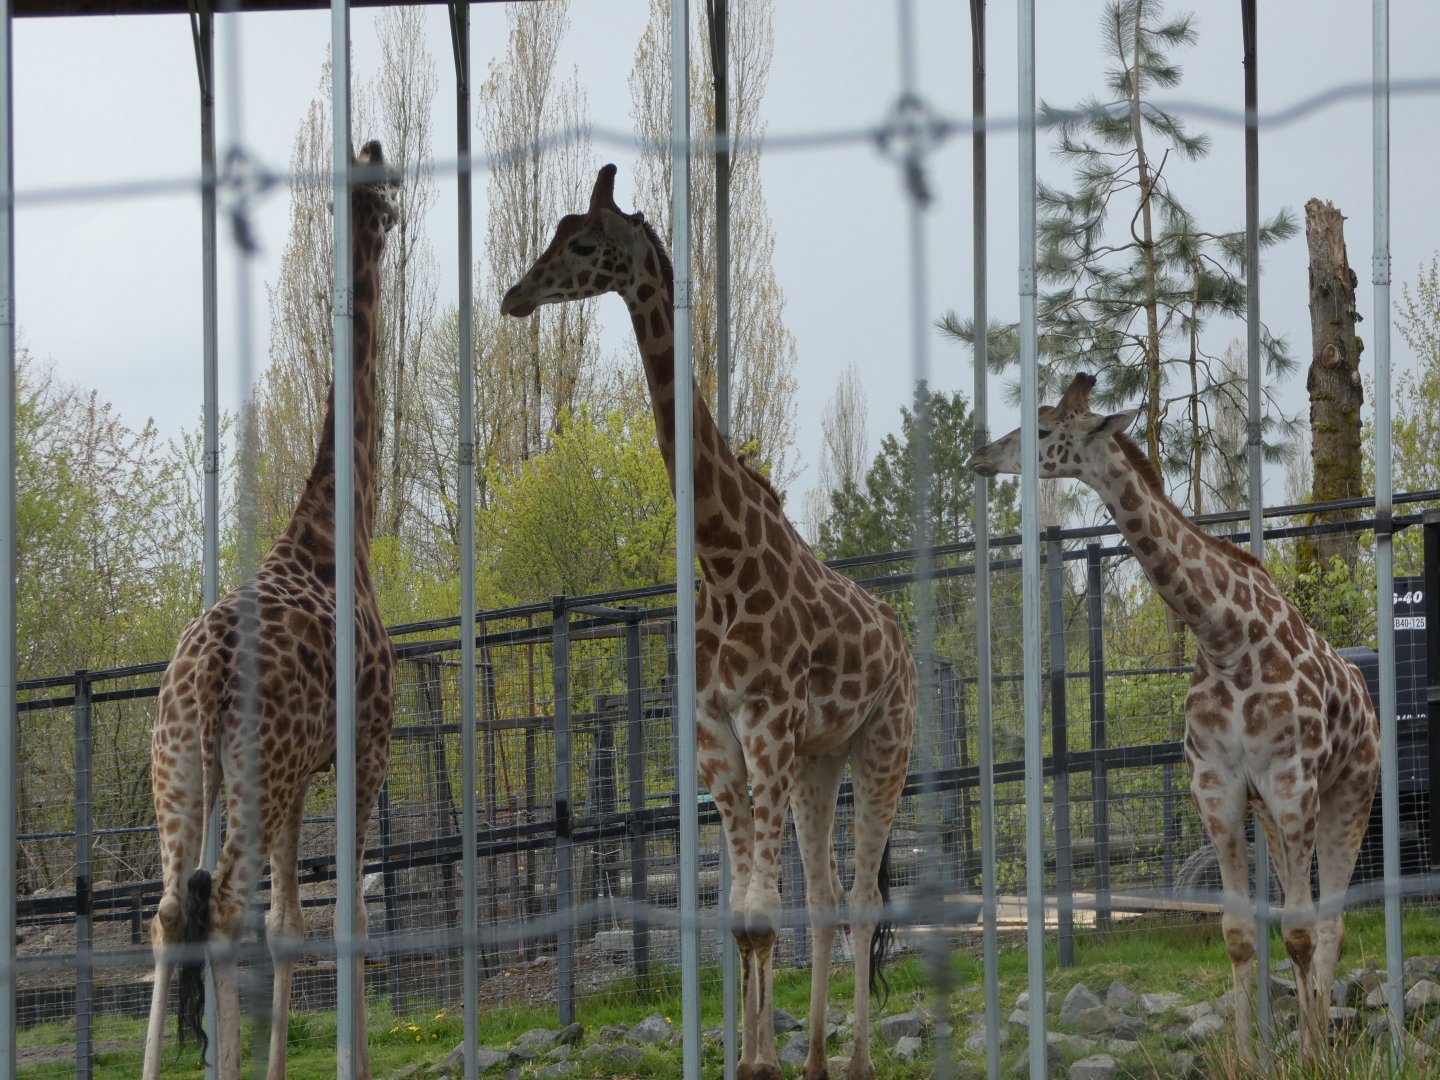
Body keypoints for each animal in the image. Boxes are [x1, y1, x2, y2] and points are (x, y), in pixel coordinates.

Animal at [143, 140, 399, 1080]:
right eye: (385, 192)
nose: (391, 214)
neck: (335, 534)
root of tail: (205, 675)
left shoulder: (304, 772)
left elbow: (290, 926)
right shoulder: (366, 742)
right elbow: (346, 915)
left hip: (183, 766)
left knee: (170, 911)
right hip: (255, 769)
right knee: (217, 909)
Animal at [502, 165, 917, 1080]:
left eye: (585, 242)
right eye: (553, 232)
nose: (515, 295)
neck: (724, 565)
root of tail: (901, 637)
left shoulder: (764, 727)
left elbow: (761, 914)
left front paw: (758, 1061)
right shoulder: (718, 736)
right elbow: (745, 916)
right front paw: (757, 1060)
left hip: (884, 745)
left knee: (864, 898)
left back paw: (858, 1061)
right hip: (819, 759)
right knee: (826, 895)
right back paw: (817, 1059)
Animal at [967, 372, 1379, 1061]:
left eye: (1045, 428)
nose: (981, 456)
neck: (1225, 638)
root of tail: (1366, 695)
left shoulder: (1293, 781)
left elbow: (1298, 932)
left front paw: (1307, 1060)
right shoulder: (1217, 786)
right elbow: (1240, 932)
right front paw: (1249, 1060)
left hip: (1349, 793)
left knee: (1330, 923)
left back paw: (1318, 1042)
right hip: (1274, 815)